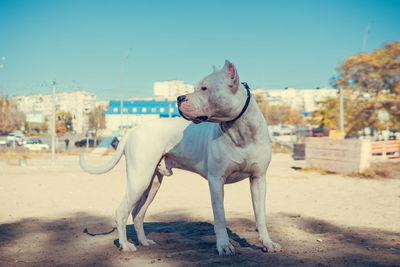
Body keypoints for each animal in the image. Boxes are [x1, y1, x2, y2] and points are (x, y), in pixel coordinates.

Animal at [79, 60, 282, 255]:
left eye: (204, 88)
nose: (179, 98)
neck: (240, 130)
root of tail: (133, 129)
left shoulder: (258, 179)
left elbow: (260, 215)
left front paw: (267, 243)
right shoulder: (216, 180)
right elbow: (220, 216)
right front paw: (224, 246)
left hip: (152, 184)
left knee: (137, 213)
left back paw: (144, 241)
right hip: (139, 179)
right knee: (122, 211)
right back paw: (125, 245)